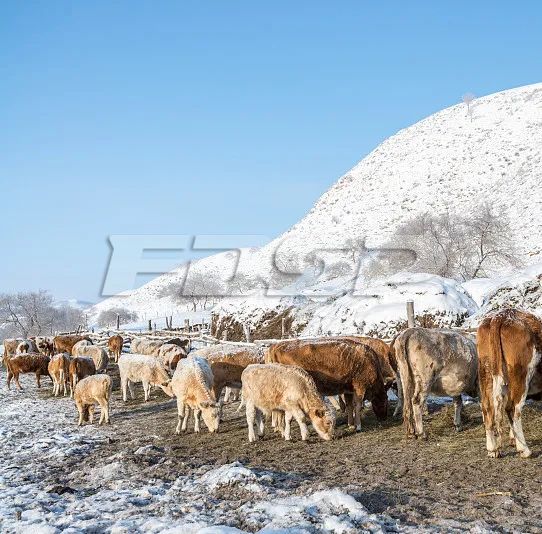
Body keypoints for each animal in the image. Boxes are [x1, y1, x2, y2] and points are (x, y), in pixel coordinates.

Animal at [480, 310, 542, 460]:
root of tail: (502, 314)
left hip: (487, 374)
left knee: (487, 407)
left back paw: (493, 449)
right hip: (522, 375)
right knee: (514, 408)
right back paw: (524, 450)